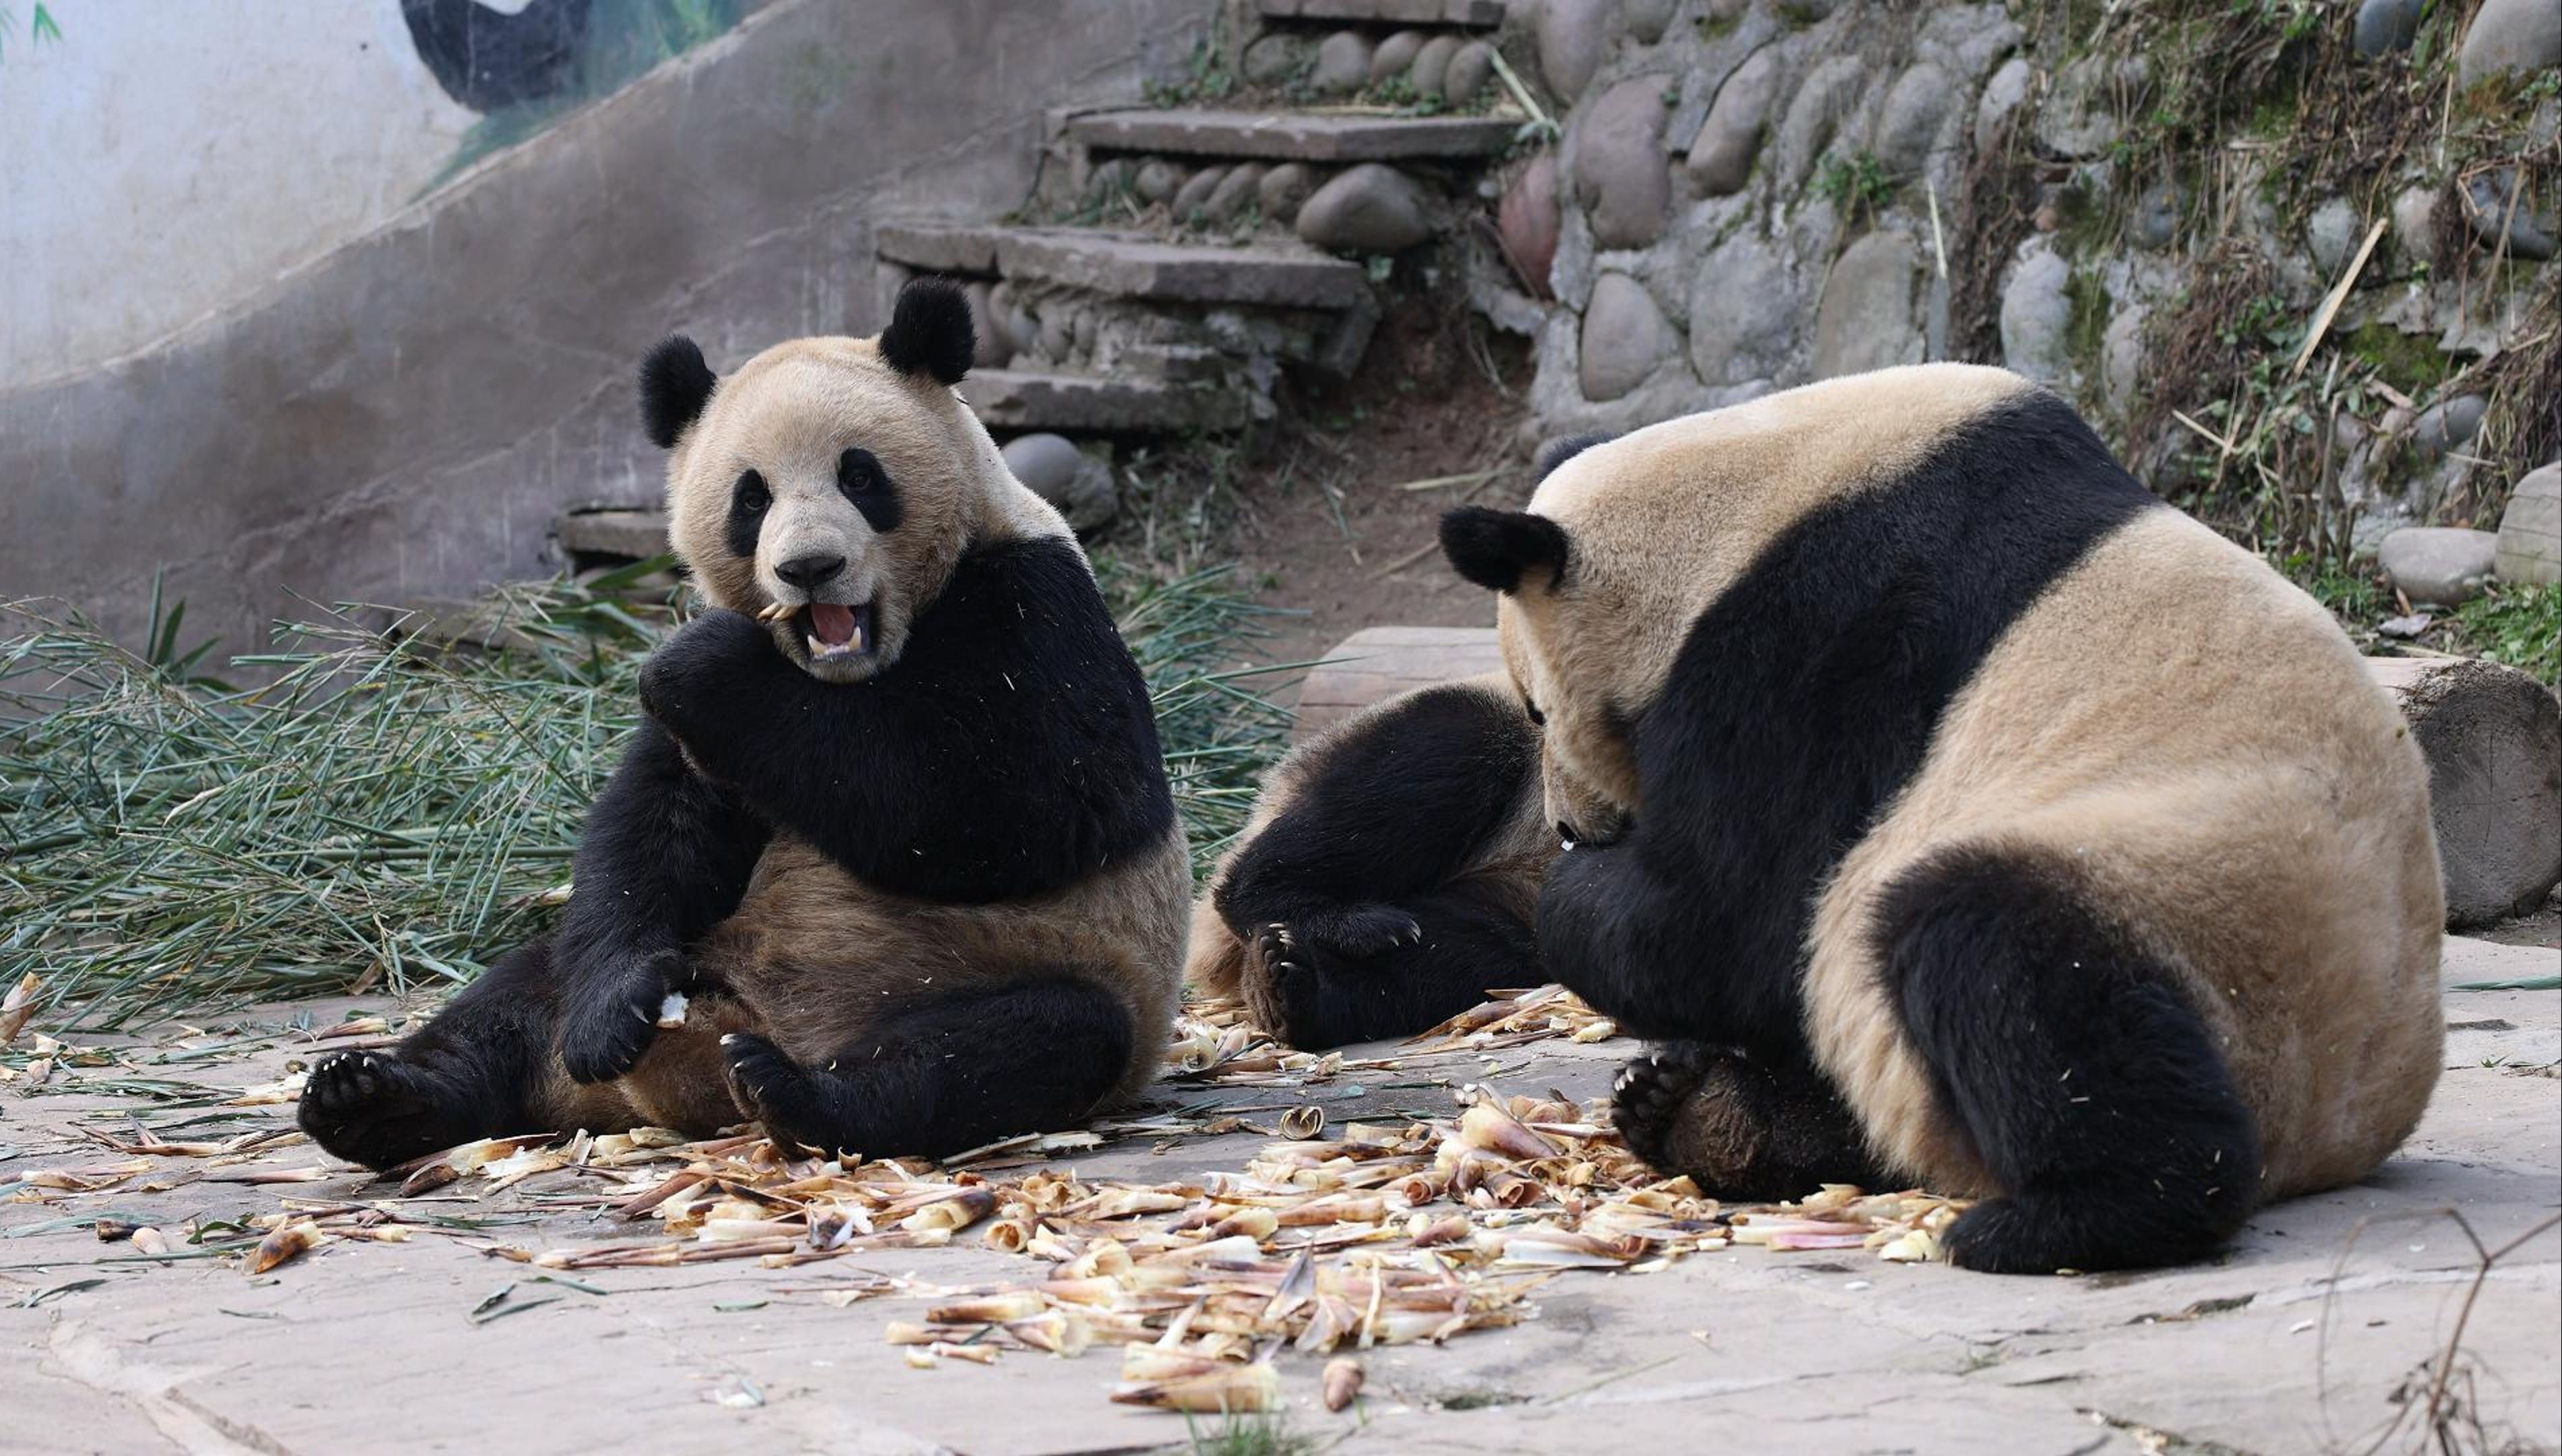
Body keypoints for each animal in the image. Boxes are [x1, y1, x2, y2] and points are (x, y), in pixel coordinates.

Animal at [299, 278, 1189, 1174]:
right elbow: (653, 827)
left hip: (1022, 969)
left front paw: (709, 662)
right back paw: (370, 1097)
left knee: (1012, 1046)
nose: (808, 569)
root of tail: (714, 1053)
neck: (847, 672)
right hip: (679, 962)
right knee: (516, 996)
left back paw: (800, 1094)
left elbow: (1017, 808)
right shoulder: (713, 748)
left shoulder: (1036, 610)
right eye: (751, 496)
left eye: (859, 474)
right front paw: (607, 1018)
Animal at [1183, 671, 1557, 1045]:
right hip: (1497, 735)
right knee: (1409, 785)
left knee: (1456, 955)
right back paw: (1342, 925)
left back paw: (1288, 985)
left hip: (1510, 896)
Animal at [1445, 364, 2439, 1271]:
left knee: (1998, 958)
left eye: (1536, 709)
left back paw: (2062, 1219)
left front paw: (1576, 896)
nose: (1571, 827)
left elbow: (1724, 924)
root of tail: (2344, 1134)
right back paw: (1703, 1116)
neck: (1741, 504)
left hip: (2198, 904)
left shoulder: (1820, 638)